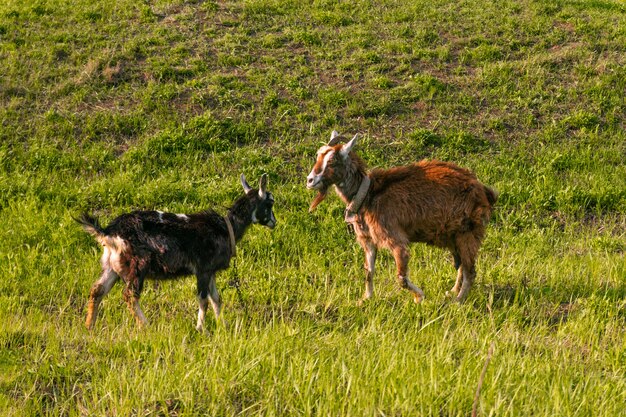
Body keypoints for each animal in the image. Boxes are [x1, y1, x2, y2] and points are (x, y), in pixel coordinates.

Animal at [75, 172, 276, 328]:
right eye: (270, 202)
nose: (274, 222)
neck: (226, 228)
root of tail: (108, 232)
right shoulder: (202, 269)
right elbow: (203, 299)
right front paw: (201, 329)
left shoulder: (210, 271)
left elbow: (216, 299)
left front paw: (223, 326)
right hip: (138, 264)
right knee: (130, 295)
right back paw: (146, 326)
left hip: (111, 265)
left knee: (97, 290)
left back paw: (89, 326)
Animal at [304, 132, 494, 302]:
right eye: (318, 156)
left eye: (332, 161)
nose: (310, 180)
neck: (367, 195)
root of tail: (482, 189)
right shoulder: (368, 240)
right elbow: (369, 271)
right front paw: (366, 299)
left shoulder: (396, 240)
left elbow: (401, 278)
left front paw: (420, 297)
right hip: (453, 235)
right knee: (461, 264)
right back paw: (453, 291)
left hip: (469, 232)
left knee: (470, 271)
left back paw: (458, 301)